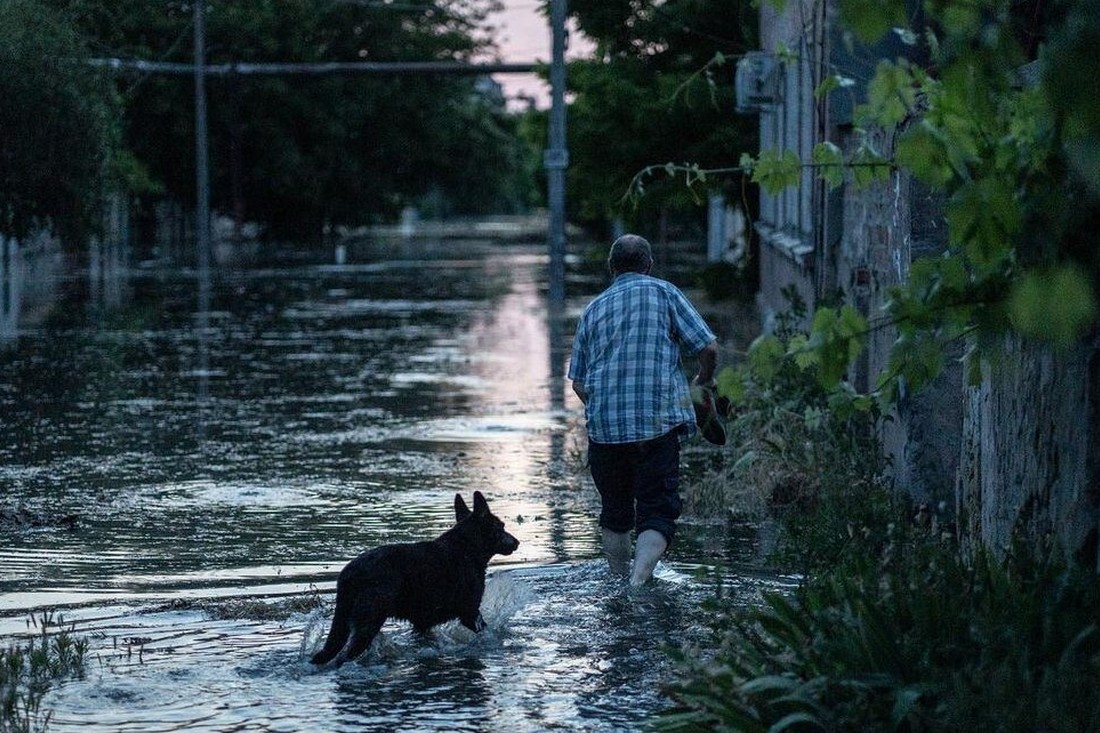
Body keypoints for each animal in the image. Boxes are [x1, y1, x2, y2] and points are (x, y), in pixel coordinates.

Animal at [308, 488, 517, 664]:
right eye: (501, 526)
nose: (517, 542)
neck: (468, 549)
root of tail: (348, 575)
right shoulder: (470, 612)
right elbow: (488, 632)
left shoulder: (423, 623)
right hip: (369, 623)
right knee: (343, 657)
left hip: (345, 623)